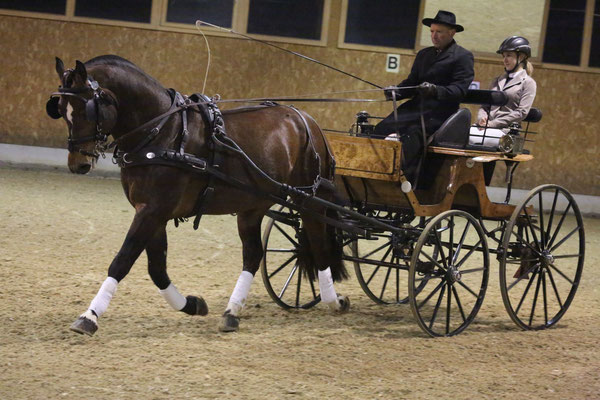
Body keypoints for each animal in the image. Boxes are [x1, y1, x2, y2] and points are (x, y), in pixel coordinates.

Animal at [49, 55, 350, 334]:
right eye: (60, 109)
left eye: (88, 109)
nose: (78, 163)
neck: (163, 133)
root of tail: (309, 121)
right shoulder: (152, 212)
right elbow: (157, 269)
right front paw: (192, 304)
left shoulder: (153, 211)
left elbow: (122, 261)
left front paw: (89, 316)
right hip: (252, 206)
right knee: (253, 255)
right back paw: (231, 313)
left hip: (309, 200)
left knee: (318, 244)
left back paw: (333, 301)